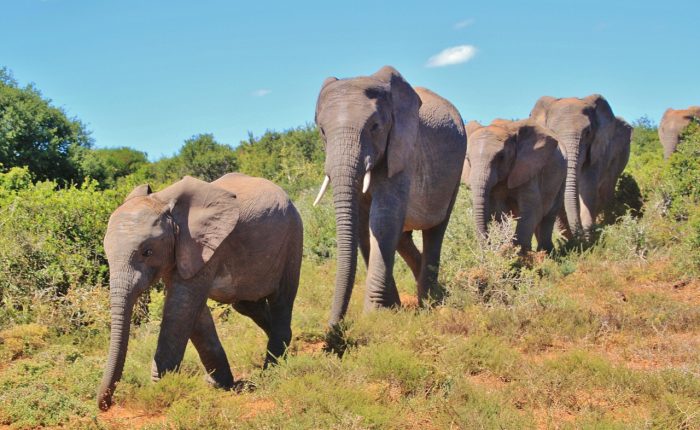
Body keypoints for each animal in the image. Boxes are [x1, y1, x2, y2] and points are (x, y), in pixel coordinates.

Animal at [96, 173, 303, 411]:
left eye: (147, 252)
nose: (106, 405)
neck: (165, 204)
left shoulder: (204, 245)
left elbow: (181, 307)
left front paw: (161, 390)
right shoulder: (182, 252)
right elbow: (194, 313)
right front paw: (218, 384)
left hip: (293, 237)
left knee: (281, 298)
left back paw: (271, 369)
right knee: (247, 305)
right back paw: (288, 349)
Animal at [313, 65, 466, 326]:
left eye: (375, 127)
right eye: (322, 131)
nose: (334, 328)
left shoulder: (402, 148)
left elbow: (383, 218)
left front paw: (375, 315)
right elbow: (363, 224)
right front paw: (391, 309)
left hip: (455, 169)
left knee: (435, 229)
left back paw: (430, 301)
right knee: (403, 236)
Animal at [462, 119, 566, 252]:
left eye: (501, 157)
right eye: (468, 159)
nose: (487, 247)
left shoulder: (528, 167)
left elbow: (532, 207)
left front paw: (519, 253)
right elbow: (497, 210)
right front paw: (503, 249)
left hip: (562, 177)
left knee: (548, 216)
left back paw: (546, 252)